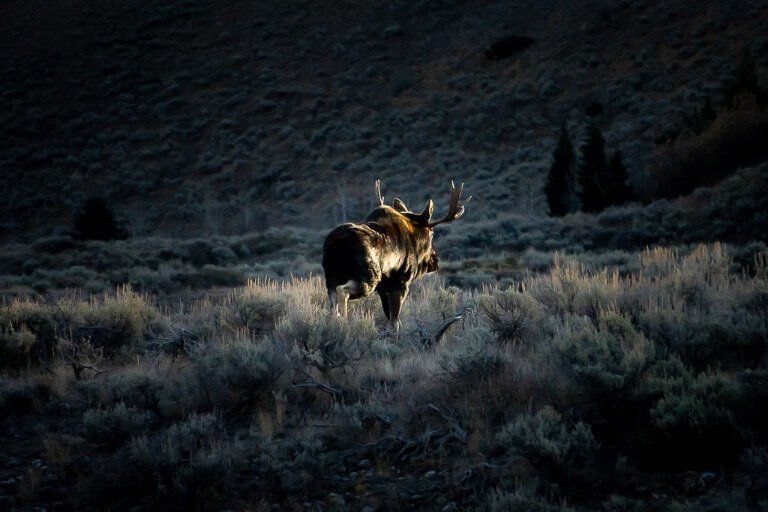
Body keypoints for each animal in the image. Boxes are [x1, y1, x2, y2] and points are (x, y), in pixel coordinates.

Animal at [322, 180, 472, 332]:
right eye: (432, 233)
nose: (435, 261)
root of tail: (335, 243)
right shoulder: (402, 282)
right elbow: (395, 322)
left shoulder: (383, 290)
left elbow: (390, 317)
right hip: (369, 276)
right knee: (342, 291)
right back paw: (344, 323)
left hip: (331, 277)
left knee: (333, 300)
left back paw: (335, 323)